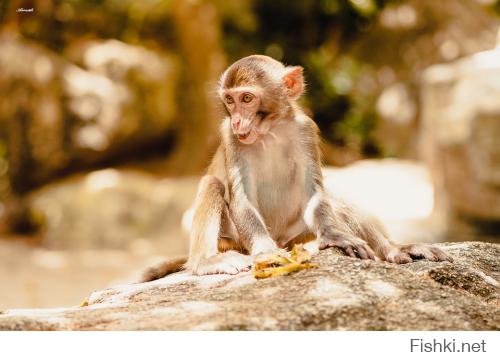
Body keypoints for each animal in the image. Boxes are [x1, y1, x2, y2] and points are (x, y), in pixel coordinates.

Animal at [140, 54, 450, 282]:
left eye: (247, 99)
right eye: (229, 100)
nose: (238, 121)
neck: (270, 131)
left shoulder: (305, 130)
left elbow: (314, 191)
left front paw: (336, 236)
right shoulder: (229, 136)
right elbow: (240, 198)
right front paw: (265, 252)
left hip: (297, 236)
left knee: (334, 197)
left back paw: (393, 249)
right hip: (233, 239)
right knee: (212, 184)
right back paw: (205, 262)